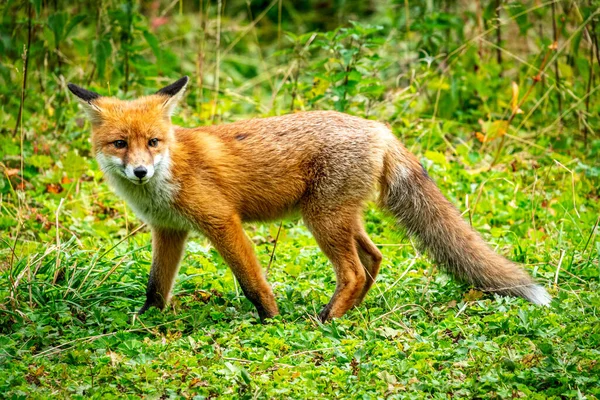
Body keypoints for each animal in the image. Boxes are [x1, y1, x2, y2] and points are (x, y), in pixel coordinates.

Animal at [68, 76, 552, 322]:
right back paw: (345, 312)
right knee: (374, 259)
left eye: (152, 142)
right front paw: (145, 322)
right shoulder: (169, 230)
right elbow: (156, 286)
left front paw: (270, 319)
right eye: (119, 144)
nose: (140, 171)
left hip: (321, 220)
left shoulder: (222, 220)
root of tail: (379, 128)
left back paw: (326, 320)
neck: (169, 174)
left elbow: (252, 280)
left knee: (354, 271)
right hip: (340, 218)